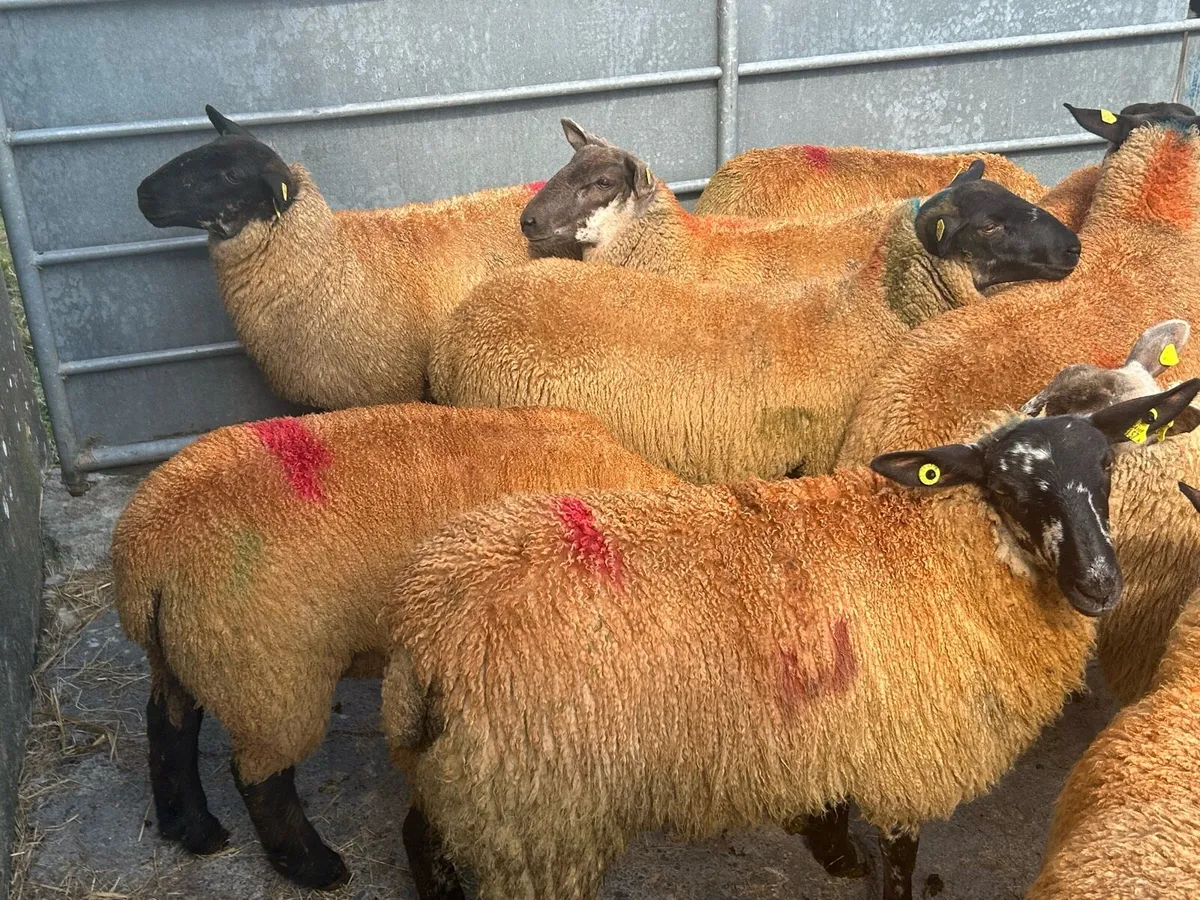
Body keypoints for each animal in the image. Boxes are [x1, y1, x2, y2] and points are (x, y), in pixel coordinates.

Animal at [111, 403, 677, 890]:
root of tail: (146, 553)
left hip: (192, 650)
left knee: (169, 726)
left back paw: (192, 828)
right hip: (268, 672)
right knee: (259, 776)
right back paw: (315, 866)